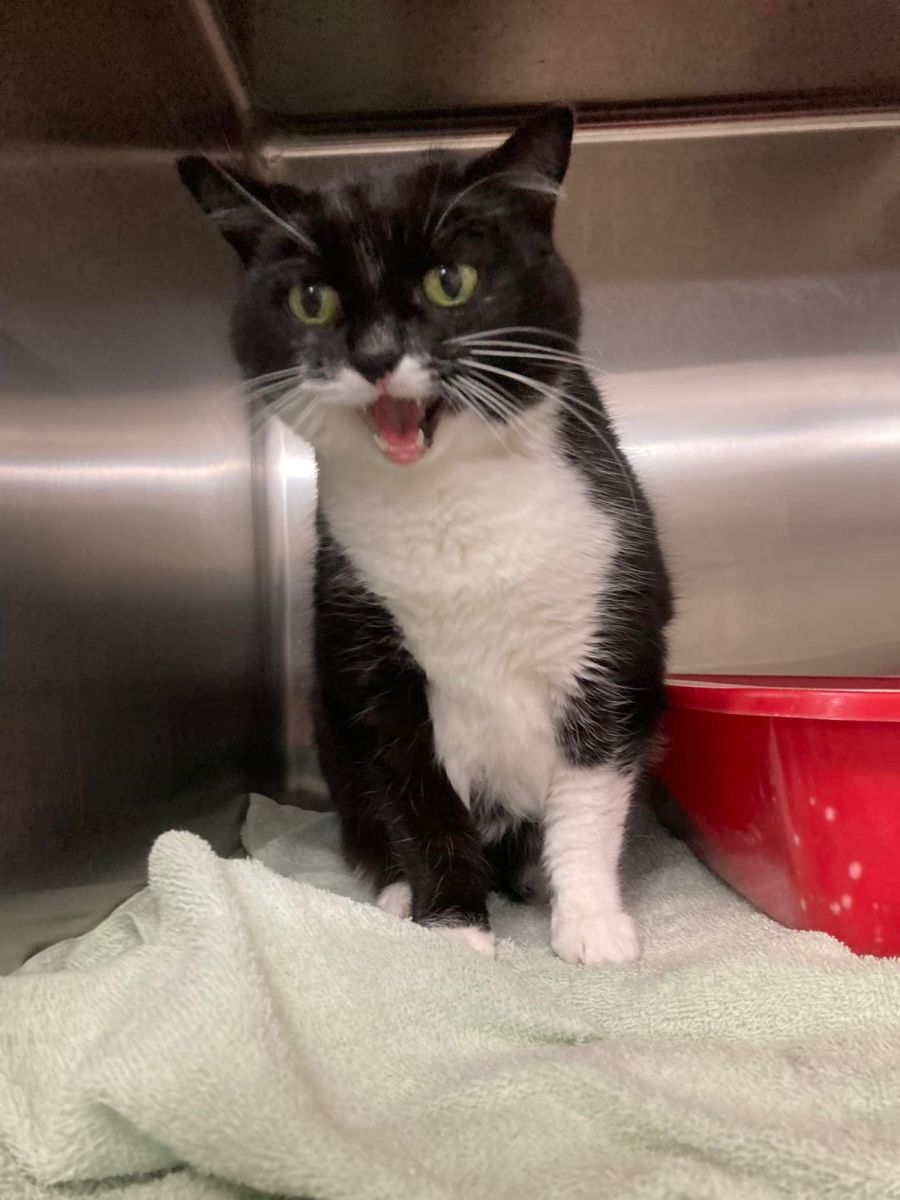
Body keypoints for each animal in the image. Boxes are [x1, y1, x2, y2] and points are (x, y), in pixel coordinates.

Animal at [179, 108, 672, 964]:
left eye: (451, 281)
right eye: (311, 299)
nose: (376, 356)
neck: (447, 504)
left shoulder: (614, 623)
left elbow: (589, 793)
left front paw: (590, 924)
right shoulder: (368, 658)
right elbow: (416, 798)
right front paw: (451, 928)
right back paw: (397, 890)